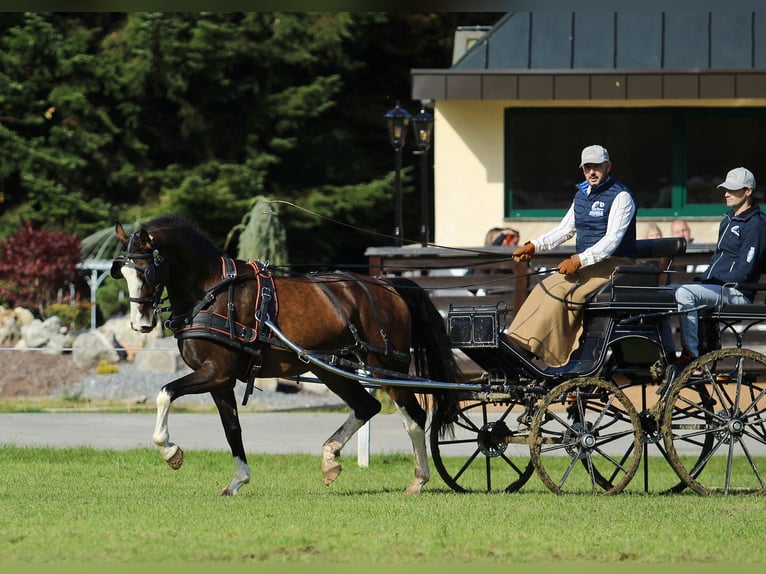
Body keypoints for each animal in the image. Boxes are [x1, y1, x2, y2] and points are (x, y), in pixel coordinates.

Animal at [112, 214, 461, 495]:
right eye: (123, 272)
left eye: (146, 271)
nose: (140, 323)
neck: (213, 293)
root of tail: (387, 286)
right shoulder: (221, 381)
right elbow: (232, 428)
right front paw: (238, 480)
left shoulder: (215, 372)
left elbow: (164, 393)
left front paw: (171, 451)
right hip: (330, 368)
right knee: (367, 406)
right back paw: (330, 458)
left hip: (384, 364)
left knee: (414, 417)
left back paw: (419, 479)